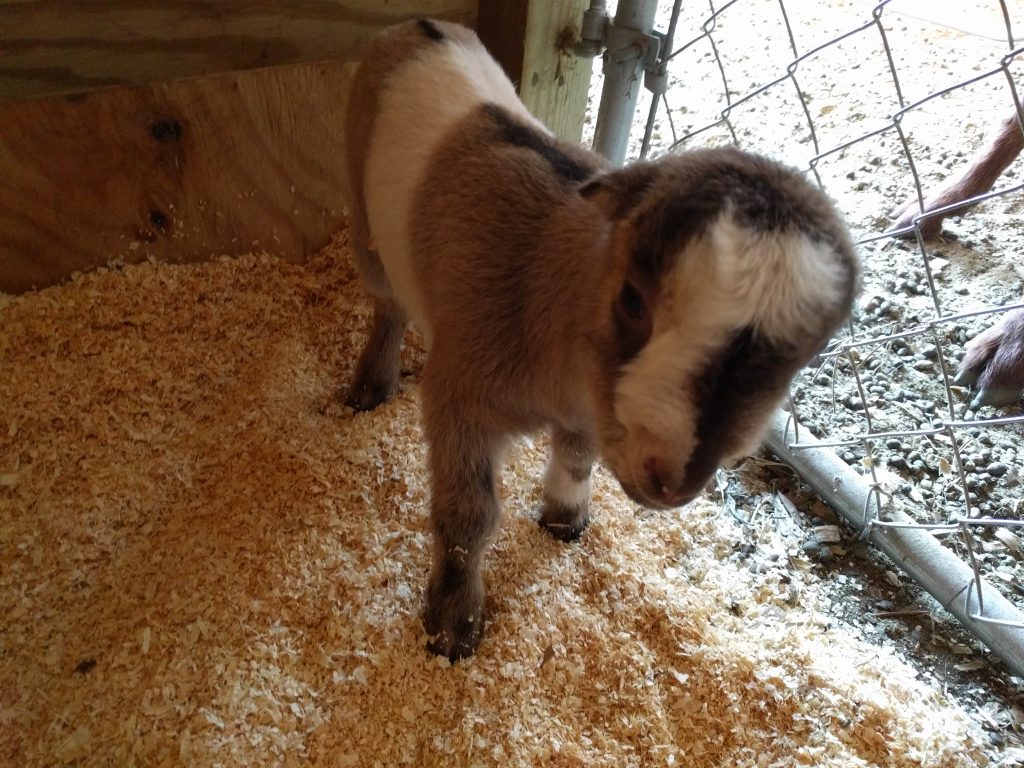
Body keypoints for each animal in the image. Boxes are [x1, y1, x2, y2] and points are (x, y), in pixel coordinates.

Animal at [342, 20, 856, 663]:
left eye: (805, 356)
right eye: (632, 299)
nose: (675, 481)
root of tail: (417, 26)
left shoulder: (594, 403)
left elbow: (578, 455)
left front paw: (565, 519)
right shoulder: (460, 397)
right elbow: (468, 517)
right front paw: (451, 627)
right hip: (365, 220)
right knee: (386, 302)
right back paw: (370, 386)